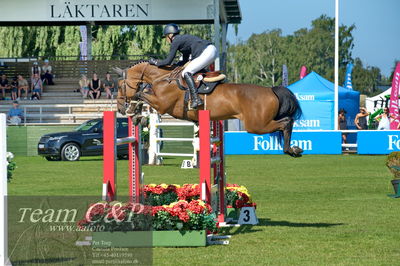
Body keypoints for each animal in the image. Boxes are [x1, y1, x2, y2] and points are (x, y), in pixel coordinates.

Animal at [115, 60, 304, 156]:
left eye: (120, 86)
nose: (120, 109)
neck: (164, 78)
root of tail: (271, 90)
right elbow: (142, 94)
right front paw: (137, 115)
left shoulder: (162, 105)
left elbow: (140, 94)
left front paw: (135, 112)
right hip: (259, 124)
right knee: (286, 122)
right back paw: (292, 149)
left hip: (256, 125)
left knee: (286, 122)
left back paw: (291, 150)